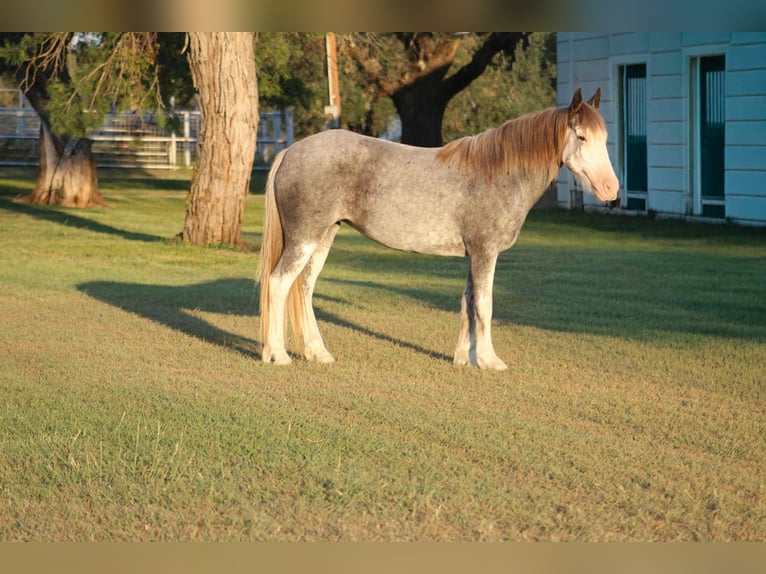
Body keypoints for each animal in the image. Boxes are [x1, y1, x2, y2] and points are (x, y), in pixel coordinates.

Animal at [257, 88, 619, 370]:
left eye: (604, 138)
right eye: (582, 136)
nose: (611, 189)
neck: (496, 173)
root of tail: (291, 150)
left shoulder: (474, 254)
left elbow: (468, 302)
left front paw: (464, 358)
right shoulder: (485, 253)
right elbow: (484, 305)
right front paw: (489, 361)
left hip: (323, 238)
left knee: (304, 288)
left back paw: (317, 353)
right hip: (304, 240)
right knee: (279, 283)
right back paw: (277, 355)